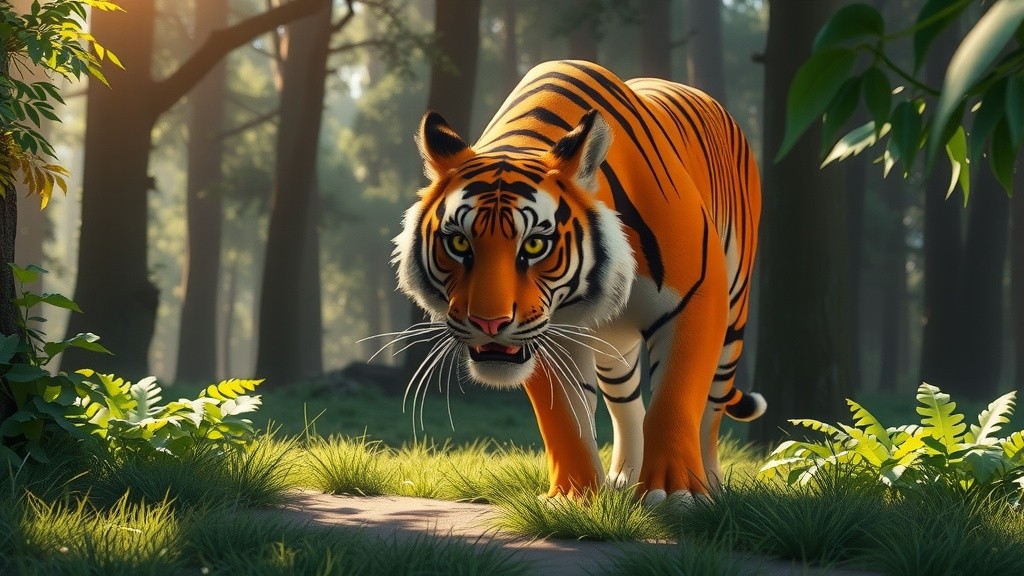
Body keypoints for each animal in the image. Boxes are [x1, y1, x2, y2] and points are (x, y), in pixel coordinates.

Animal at [393, 59, 765, 504]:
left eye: (535, 244)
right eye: (460, 242)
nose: (489, 323)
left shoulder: (696, 298)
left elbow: (675, 396)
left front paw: (675, 492)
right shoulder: (548, 331)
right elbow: (566, 417)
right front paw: (575, 495)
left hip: (734, 313)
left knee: (711, 406)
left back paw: (709, 482)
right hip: (614, 347)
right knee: (626, 403)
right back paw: (624, 479)